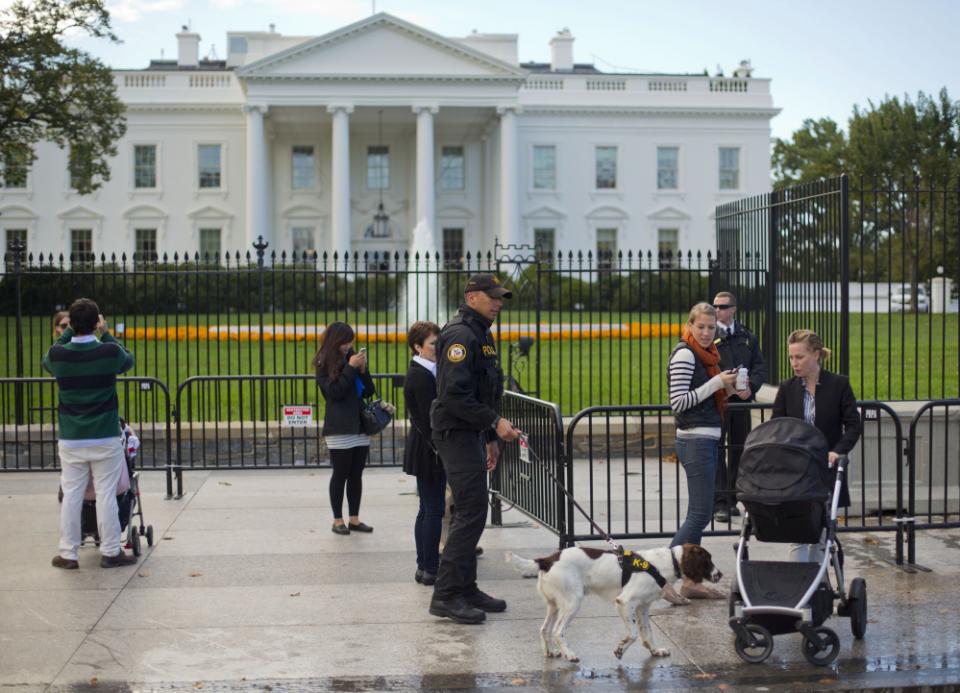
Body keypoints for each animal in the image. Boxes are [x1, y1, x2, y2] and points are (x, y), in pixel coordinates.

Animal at [510, 544, 720, 664]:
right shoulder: (624, 602)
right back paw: (569, 654)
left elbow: (647, 634)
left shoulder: (643, 607)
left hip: (554, 605)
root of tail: (547, 560)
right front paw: (620, 650)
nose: (720, 574)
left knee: (544, 629)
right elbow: (633, 634)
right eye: (707, 560)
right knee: (557, 631)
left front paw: (655, 650)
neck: (667, 562)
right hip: (572, 602)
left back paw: (550, 652)